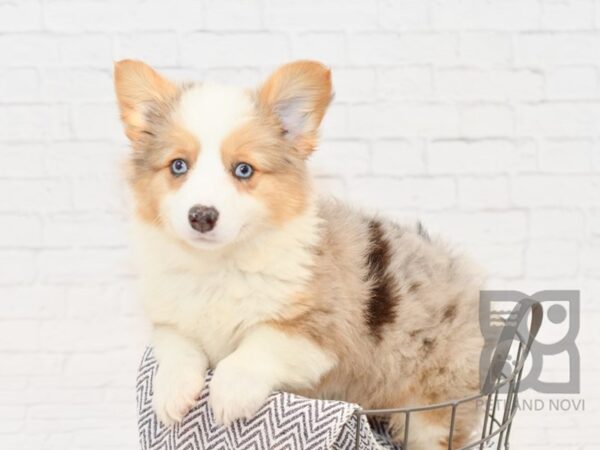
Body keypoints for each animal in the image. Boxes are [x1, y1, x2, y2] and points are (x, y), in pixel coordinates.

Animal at [115, 60, 486, 450]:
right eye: (178, 166)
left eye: (243, 169)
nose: (201, 216)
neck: (219, 264)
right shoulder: (172, 319)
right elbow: (175, 348)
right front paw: (171, 395)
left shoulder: (319, 330)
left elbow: (260, 346)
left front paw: (228, 393)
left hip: (433, 410)